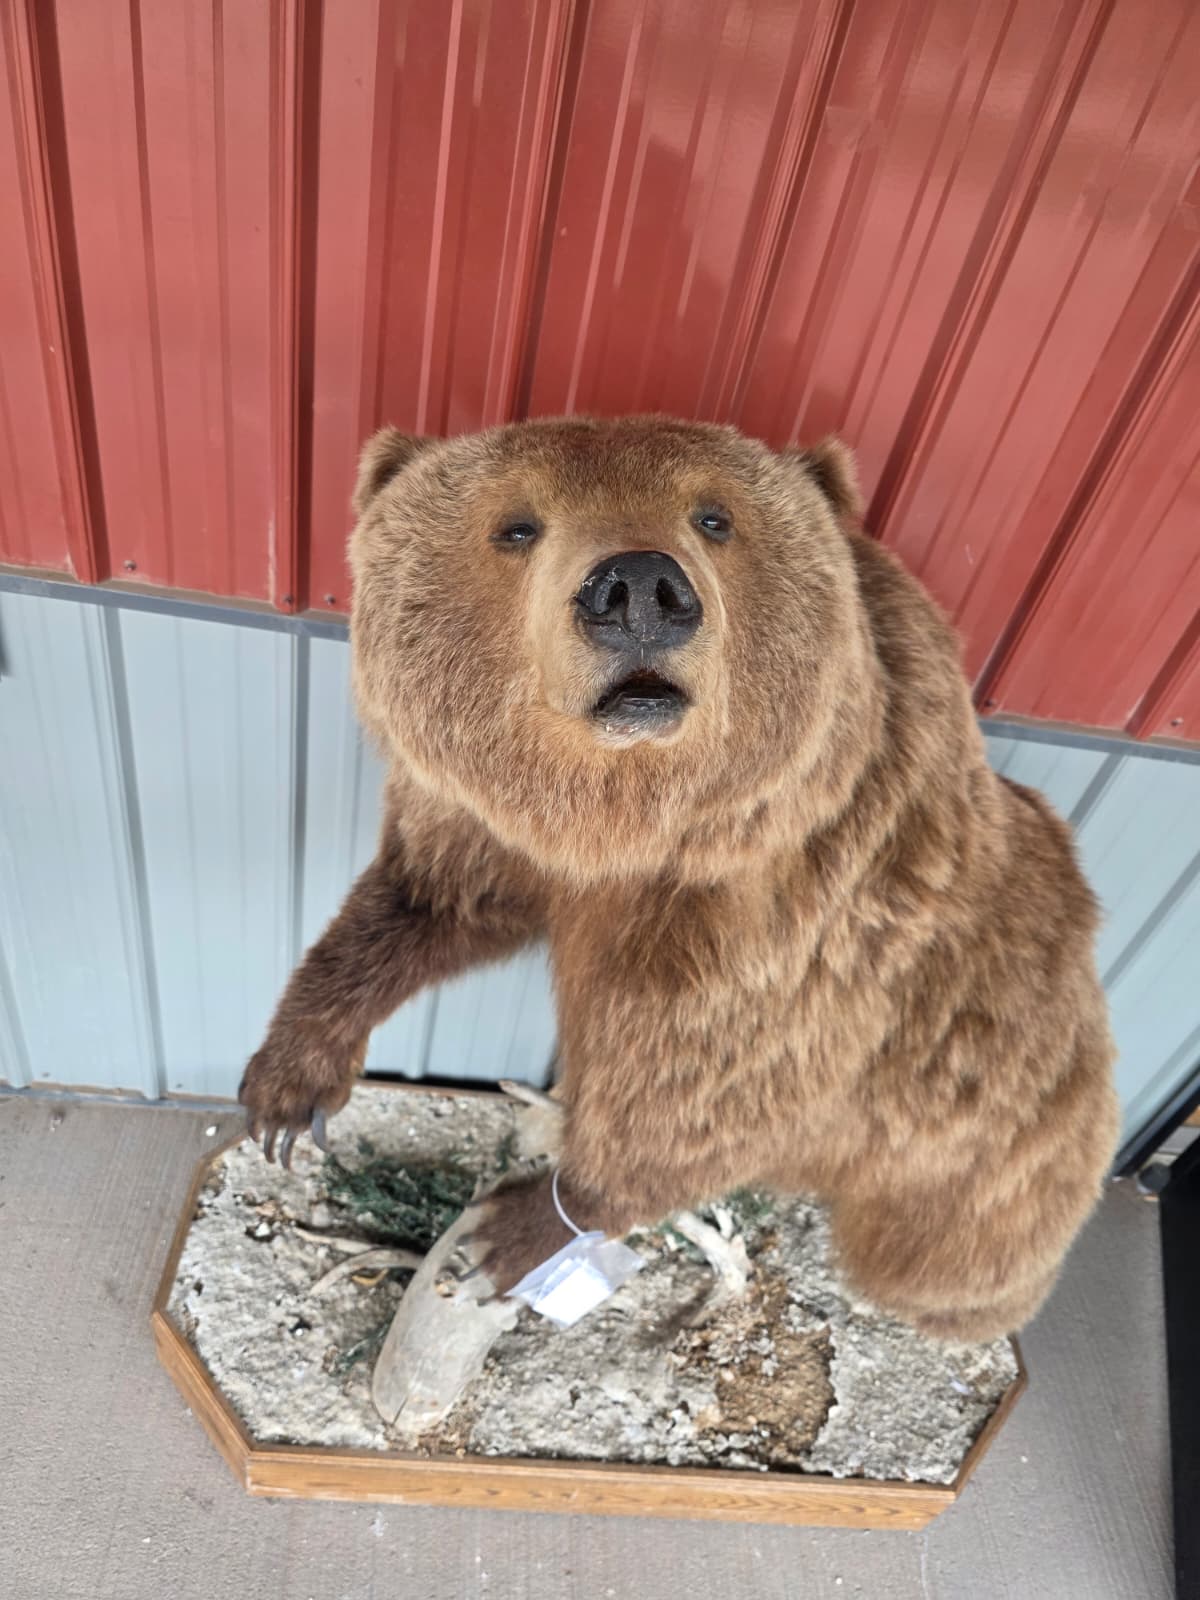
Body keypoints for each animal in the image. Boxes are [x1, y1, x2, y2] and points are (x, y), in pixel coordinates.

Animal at [239, 414, 1119, 1341]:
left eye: (715, 517)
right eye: (517, 526)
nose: (636, 587)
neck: (632, 829)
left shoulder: (798, 914)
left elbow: (704, 1085)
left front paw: (521, 1227)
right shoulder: (489, 827)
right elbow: (429, 899)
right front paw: (290, 1085)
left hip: (999, 1132)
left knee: (949, 1249)